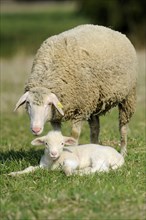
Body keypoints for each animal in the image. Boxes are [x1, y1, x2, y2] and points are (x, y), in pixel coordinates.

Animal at [14, 24, 138, 156]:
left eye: (48, 104)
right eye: (28, 103)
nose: (36, 129)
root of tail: (113, 30)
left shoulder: (80, 110)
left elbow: (74, 136)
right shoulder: (57, 116)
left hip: (128, 97)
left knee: (123, 126)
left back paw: (123, 152)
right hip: (94, 101)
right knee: (95, 128)